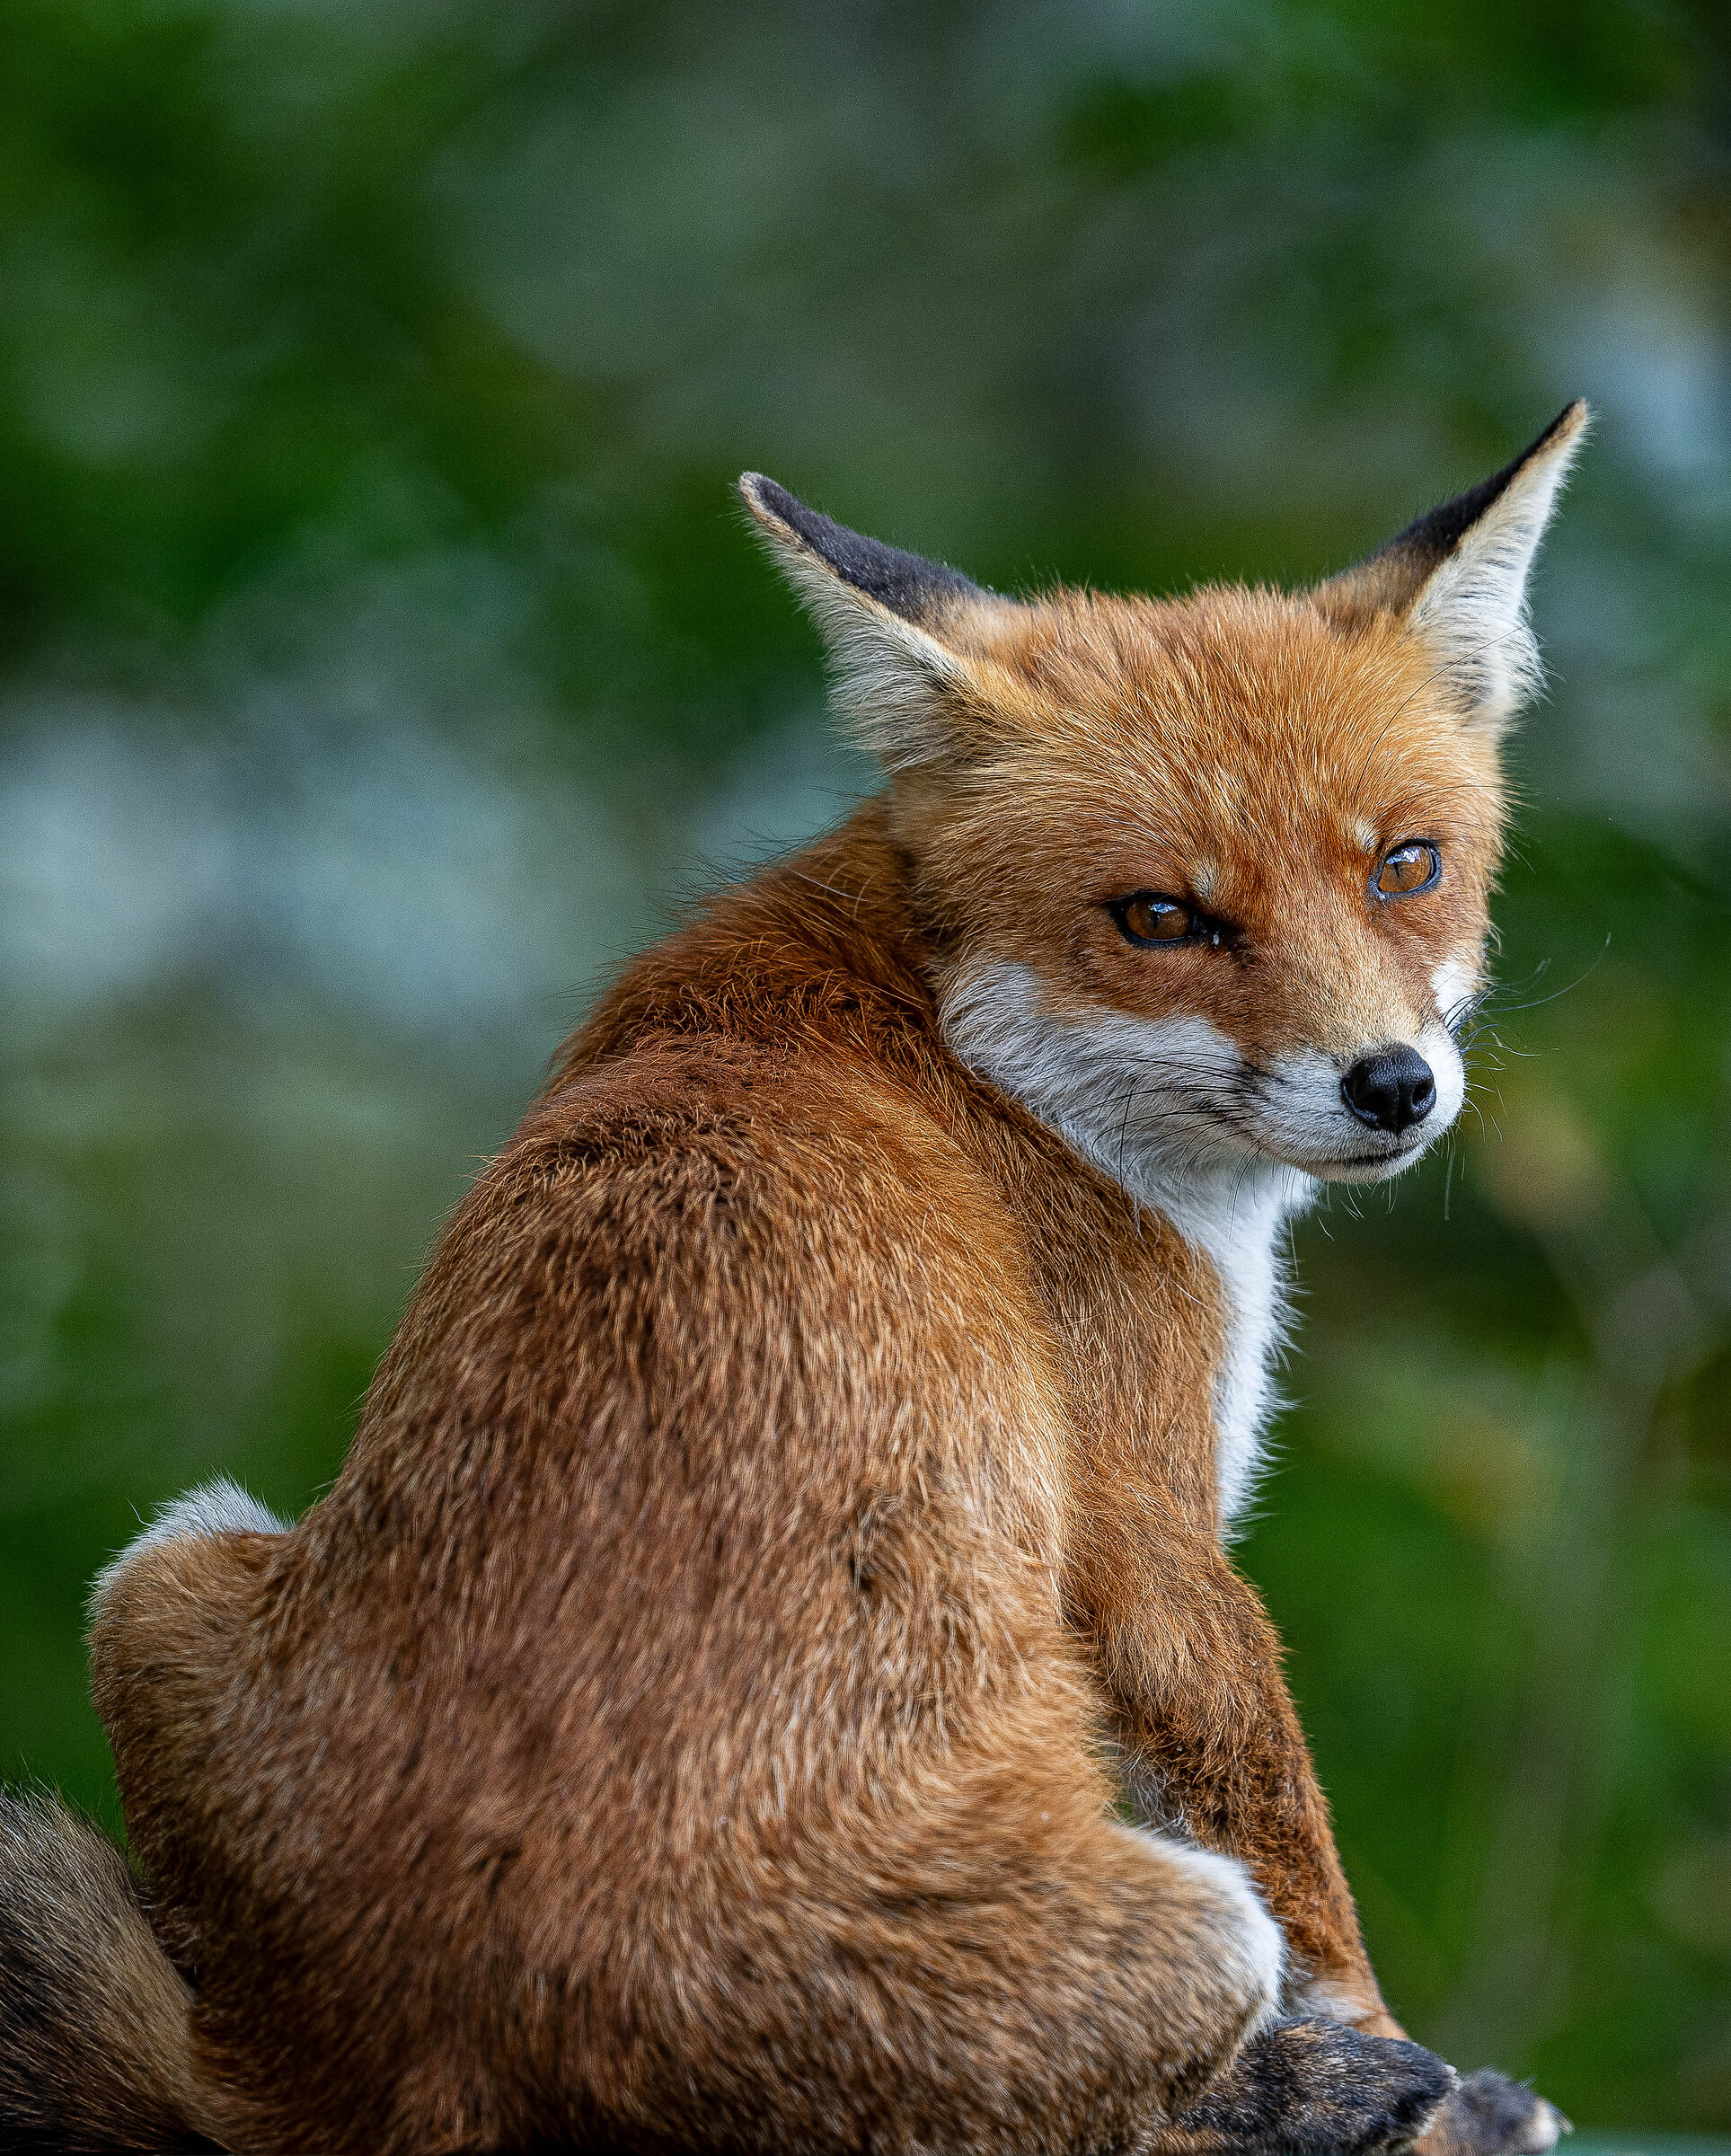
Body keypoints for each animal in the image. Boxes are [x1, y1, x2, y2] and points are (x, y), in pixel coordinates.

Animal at [1, 405, 1590, 2156]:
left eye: (1405, 867)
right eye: (1161, 916)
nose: (1391, 1089)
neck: (958, 1037)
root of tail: (400, 2067)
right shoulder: (1151, 1539)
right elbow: (1304, 1873)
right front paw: (1393, 2067)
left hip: (159, 1572)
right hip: (1176, 1928)